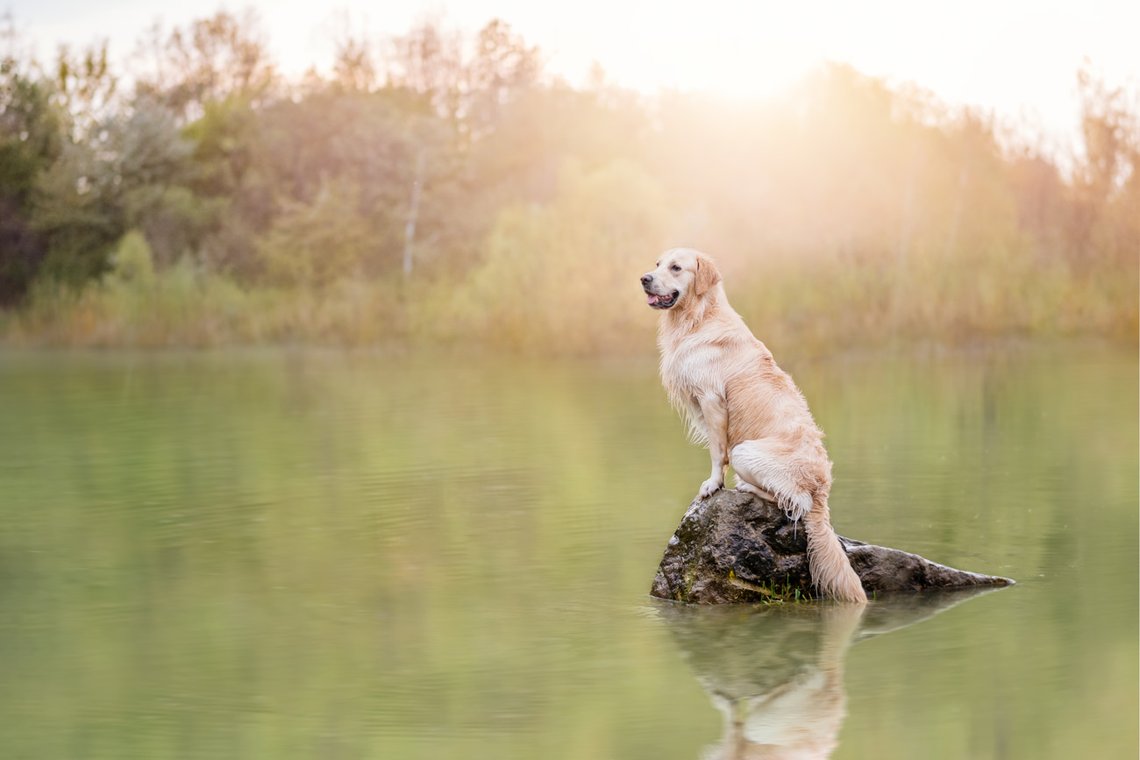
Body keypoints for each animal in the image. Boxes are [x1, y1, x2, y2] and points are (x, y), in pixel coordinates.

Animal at [642, 249, 861, 606]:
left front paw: (713, 485)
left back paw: (746, 488)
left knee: (793, 503)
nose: (644, 278)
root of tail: (822, 490)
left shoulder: (713, 399)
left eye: (676, 268)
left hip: (746, 452)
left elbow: (717, 452)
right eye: (657, 264)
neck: (699, 317)